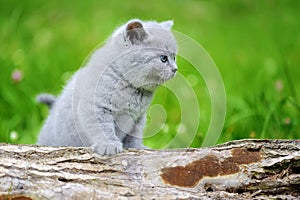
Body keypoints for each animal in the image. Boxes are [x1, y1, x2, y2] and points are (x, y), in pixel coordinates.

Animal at [37, 18, 178, 155]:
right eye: (163, 58)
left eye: (174, 57)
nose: (175, 69)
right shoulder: (95, 106)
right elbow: (103, 128)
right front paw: (108, 145)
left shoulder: (138, 118)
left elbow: (134, 135)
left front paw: (137, 147)